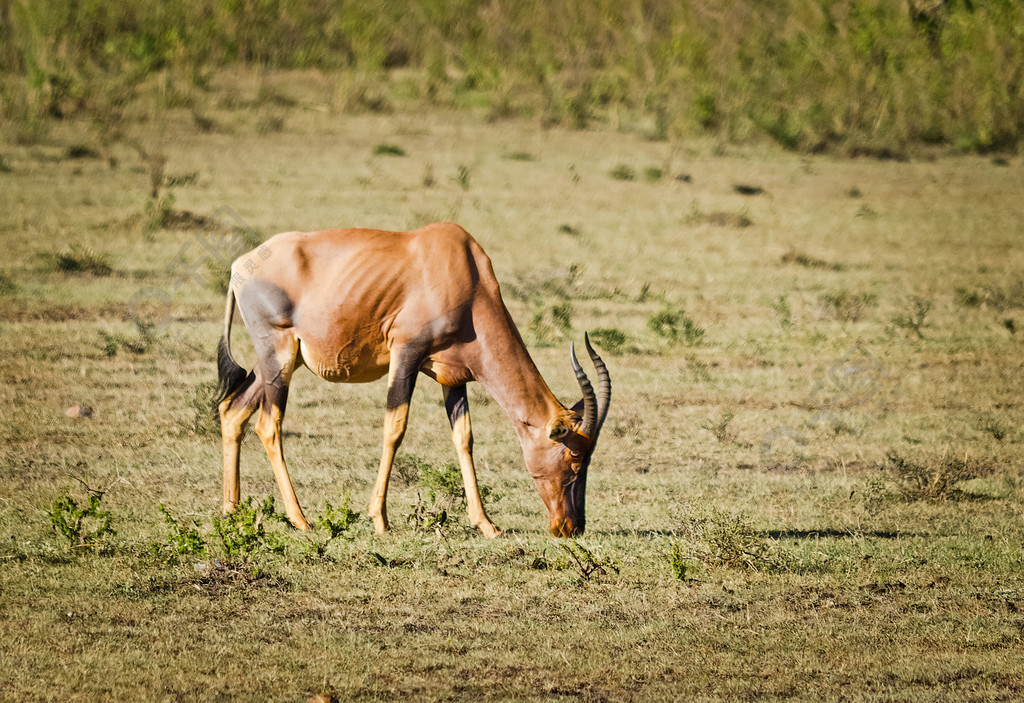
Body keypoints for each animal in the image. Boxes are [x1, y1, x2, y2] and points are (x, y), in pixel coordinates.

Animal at [214, 223, 606, 536]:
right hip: (277, 353)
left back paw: (232, 512)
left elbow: (464, 438)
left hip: (281, 362)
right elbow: (395, 428)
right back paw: (301, 519)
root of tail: (241, 265)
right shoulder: (406, 354)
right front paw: (380, 520)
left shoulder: (453, 377)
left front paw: (487, 524)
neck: (461, 269)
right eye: (573, 461)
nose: (571, 527)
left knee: (233, 410)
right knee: (269, 424)